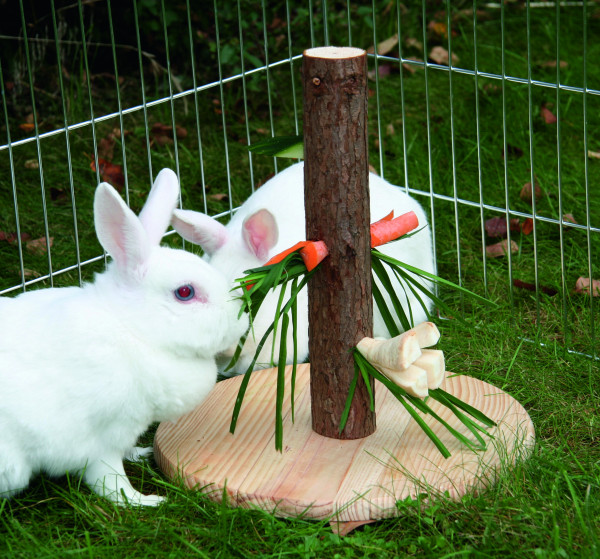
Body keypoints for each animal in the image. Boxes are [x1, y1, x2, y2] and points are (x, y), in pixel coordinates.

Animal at [0, 168, 248, 506]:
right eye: (185, 292)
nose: (241, 322)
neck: (132, 331)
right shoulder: (100, 440)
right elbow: (110, 481)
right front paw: (148, 500)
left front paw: (141, 453)